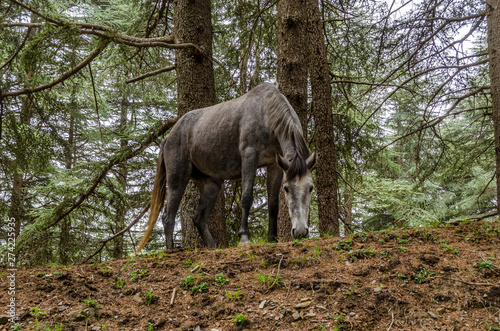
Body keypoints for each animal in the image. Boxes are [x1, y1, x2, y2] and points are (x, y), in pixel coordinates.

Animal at [136, 83, 316, 252]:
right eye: (287, 188)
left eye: (311, 188)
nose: (301, 231)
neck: (266, 113)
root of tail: (168, 138)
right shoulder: (249, 157)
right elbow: (246, 198)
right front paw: (244, 238)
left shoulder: (275, 166)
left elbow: (273, 204)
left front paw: (272, 238)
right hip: (177, 179)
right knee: (168, 216)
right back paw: (171, 249)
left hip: (211, 186)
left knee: (199, 219)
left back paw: (212, 247)